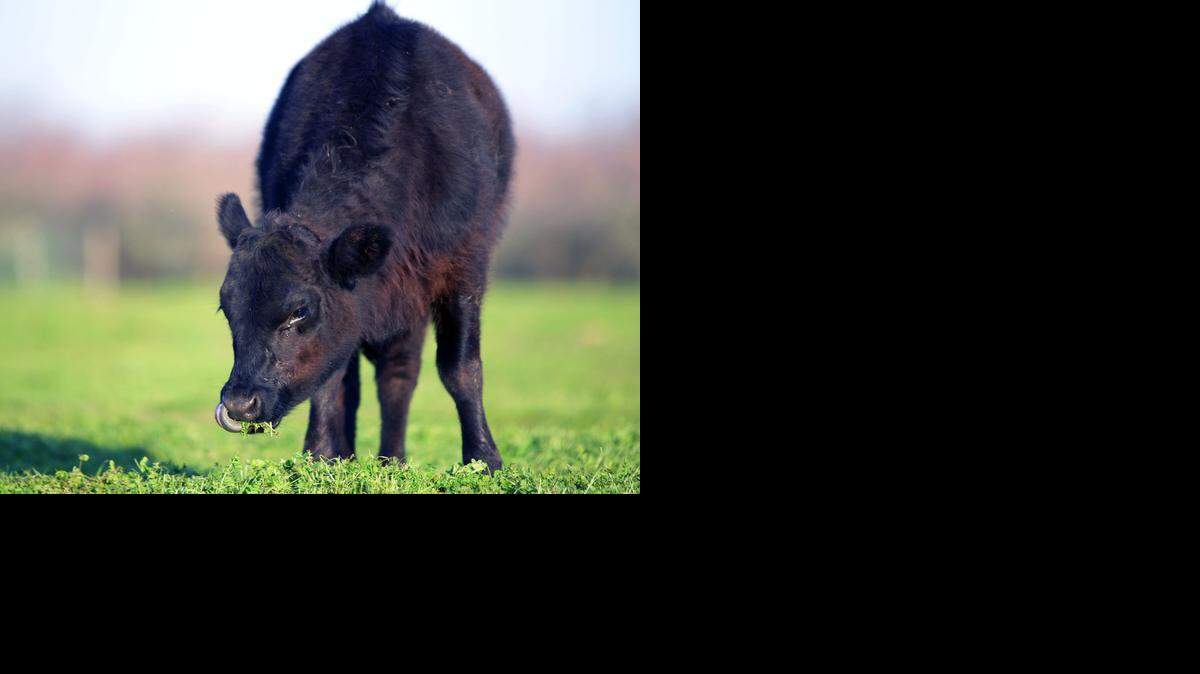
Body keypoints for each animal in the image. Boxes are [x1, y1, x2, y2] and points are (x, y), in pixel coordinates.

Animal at [212, 2, 513, 471]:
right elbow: (333, 380)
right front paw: (319, 456)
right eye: (226, 308)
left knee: (399, 376)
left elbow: (461, 368)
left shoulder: (464, 268)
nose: (241, 403)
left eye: (299, 311)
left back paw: (393, 460)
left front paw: (483, 460)